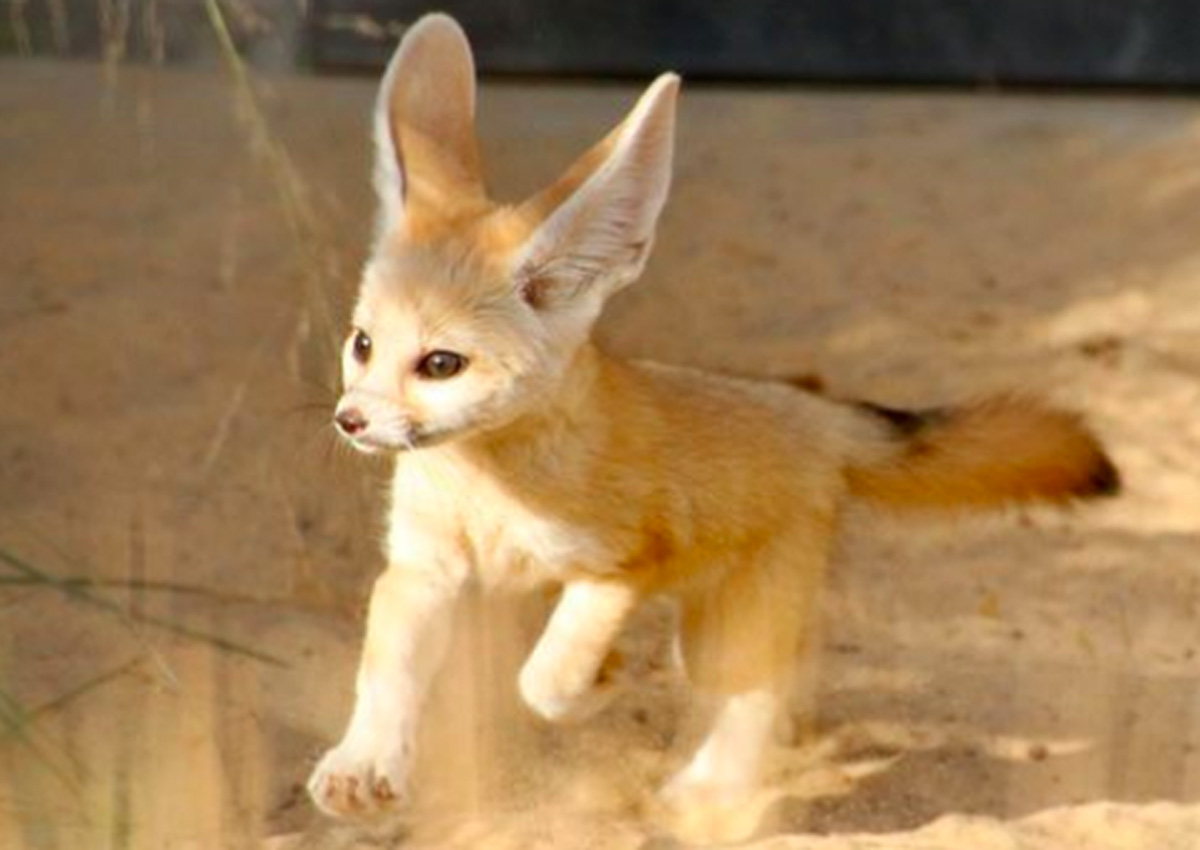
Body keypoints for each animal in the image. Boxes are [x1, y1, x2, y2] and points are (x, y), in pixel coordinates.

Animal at [304, 11, 1118, 830]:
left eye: (441, 364)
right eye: (363, 344)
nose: (350, 421)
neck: (489, 490)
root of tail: (814, 412)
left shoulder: (619, 568)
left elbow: (548, 680)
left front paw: (602, 678)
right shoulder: (424, 570)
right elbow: (387, 675)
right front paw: (362, 764)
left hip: (723, 633)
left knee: (755, 695)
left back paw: (709, 793)